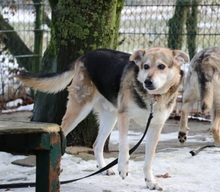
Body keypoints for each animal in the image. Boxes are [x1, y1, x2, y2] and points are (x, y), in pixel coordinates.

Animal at [17, 47, 189, 190]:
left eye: (161, 66)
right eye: (145, 66)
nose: (147, 81)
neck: (152, 98)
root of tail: (84, 56)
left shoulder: (155, 126)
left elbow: (149, 160)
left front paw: (150, 182)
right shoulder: (124, 116)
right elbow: (124, 145)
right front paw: (123, 168)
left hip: (110, 117)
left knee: (96, 144)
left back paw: (103, 168)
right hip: (80, 109)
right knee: (63, 131)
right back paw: (57, 166)